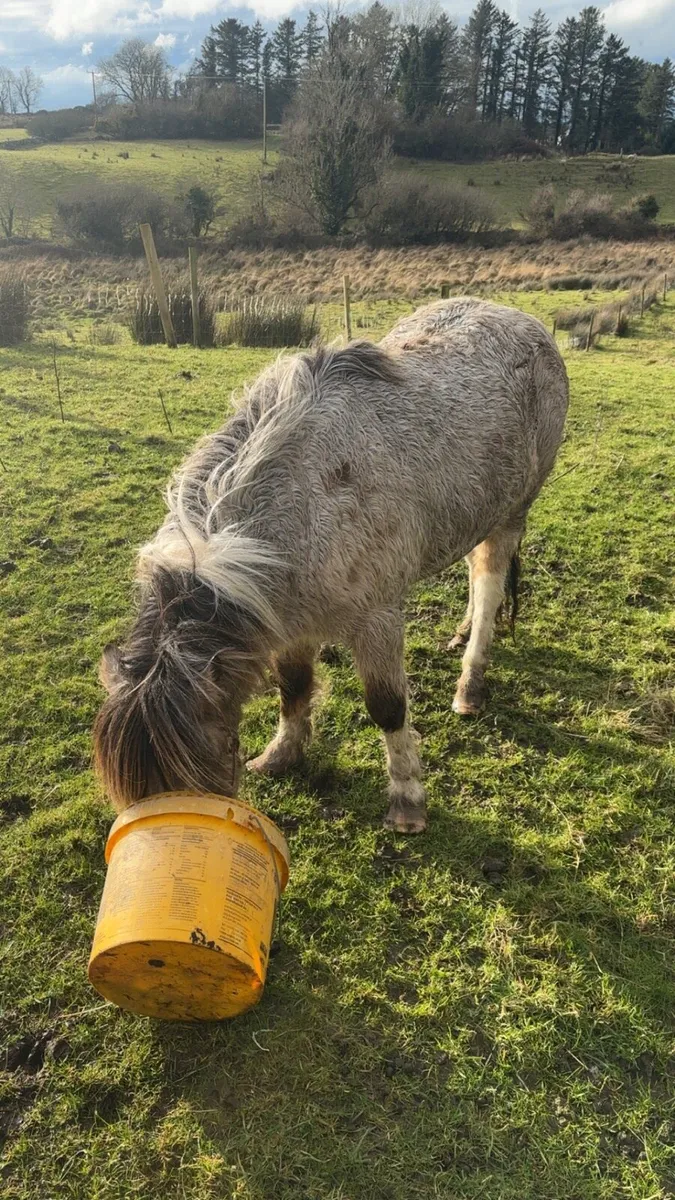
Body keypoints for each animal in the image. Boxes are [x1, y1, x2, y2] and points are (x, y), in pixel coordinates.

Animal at [94, 298, 569, 834]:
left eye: (204, 765)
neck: (303, 505)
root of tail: (522, 319)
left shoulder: (377, 619)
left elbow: (387, 708)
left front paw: (407, 801)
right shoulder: (287, 621)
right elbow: (294, 686)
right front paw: (281, 755)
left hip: (511, 514)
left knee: (489, 590)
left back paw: (470, 684)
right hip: (477, 512)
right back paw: (461, 631)